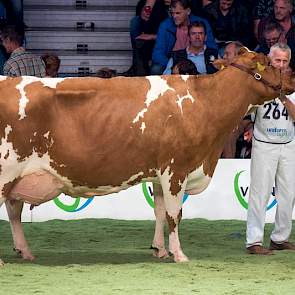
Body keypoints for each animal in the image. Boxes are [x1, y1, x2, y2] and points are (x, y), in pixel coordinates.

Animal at [0, 49, 294, 266]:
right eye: (270, 62)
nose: (292, 74)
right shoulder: (176, 170)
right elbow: (175, 215)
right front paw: (179, 255)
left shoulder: (159, 175)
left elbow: (159, 212)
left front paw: (160, 250)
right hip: (6, 172)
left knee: (14, 212)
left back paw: (24, 251)